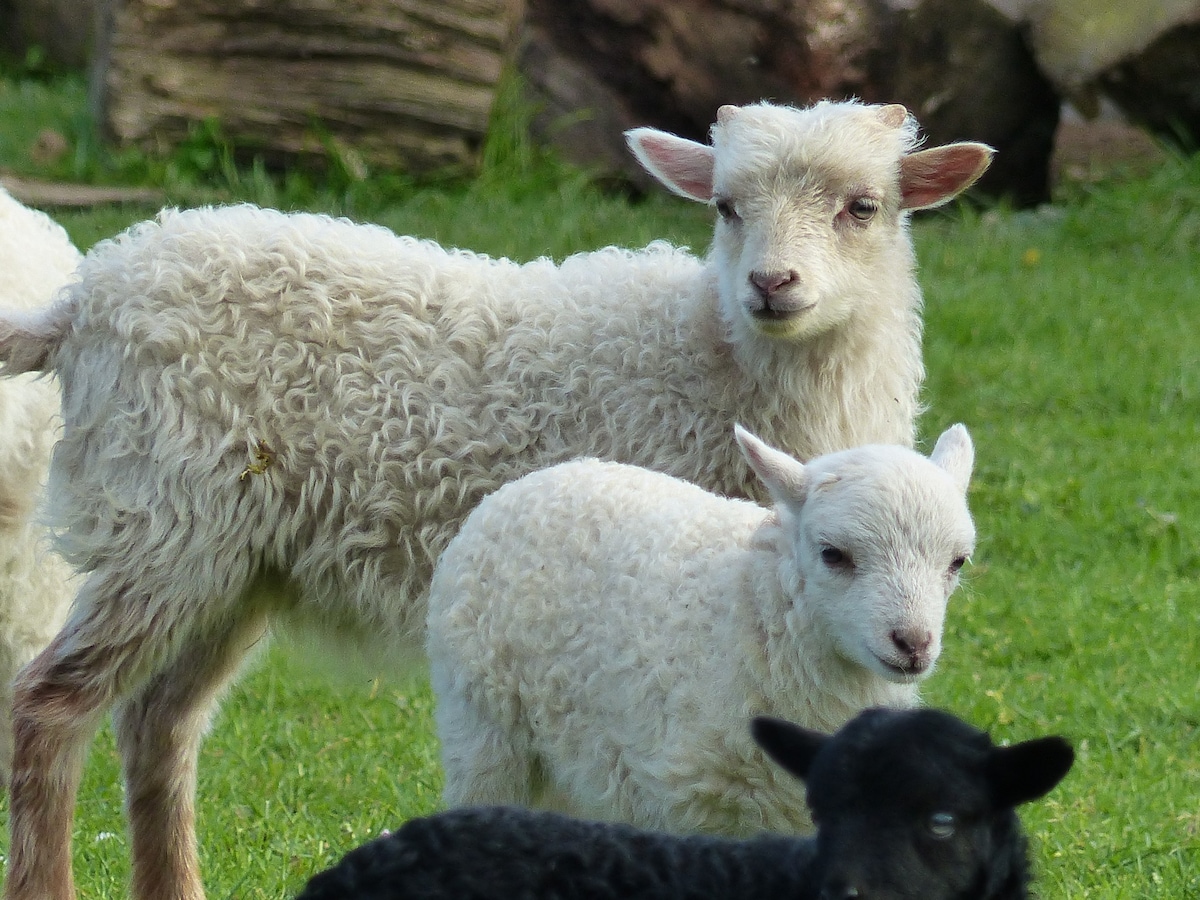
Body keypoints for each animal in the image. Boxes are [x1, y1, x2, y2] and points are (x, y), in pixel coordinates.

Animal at [429, 427, 974, 835]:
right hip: (483, 725)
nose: (913, 644)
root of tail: (529, 482)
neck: (755, 613)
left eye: (958, 561)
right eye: (832, 554)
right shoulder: (689, 803)